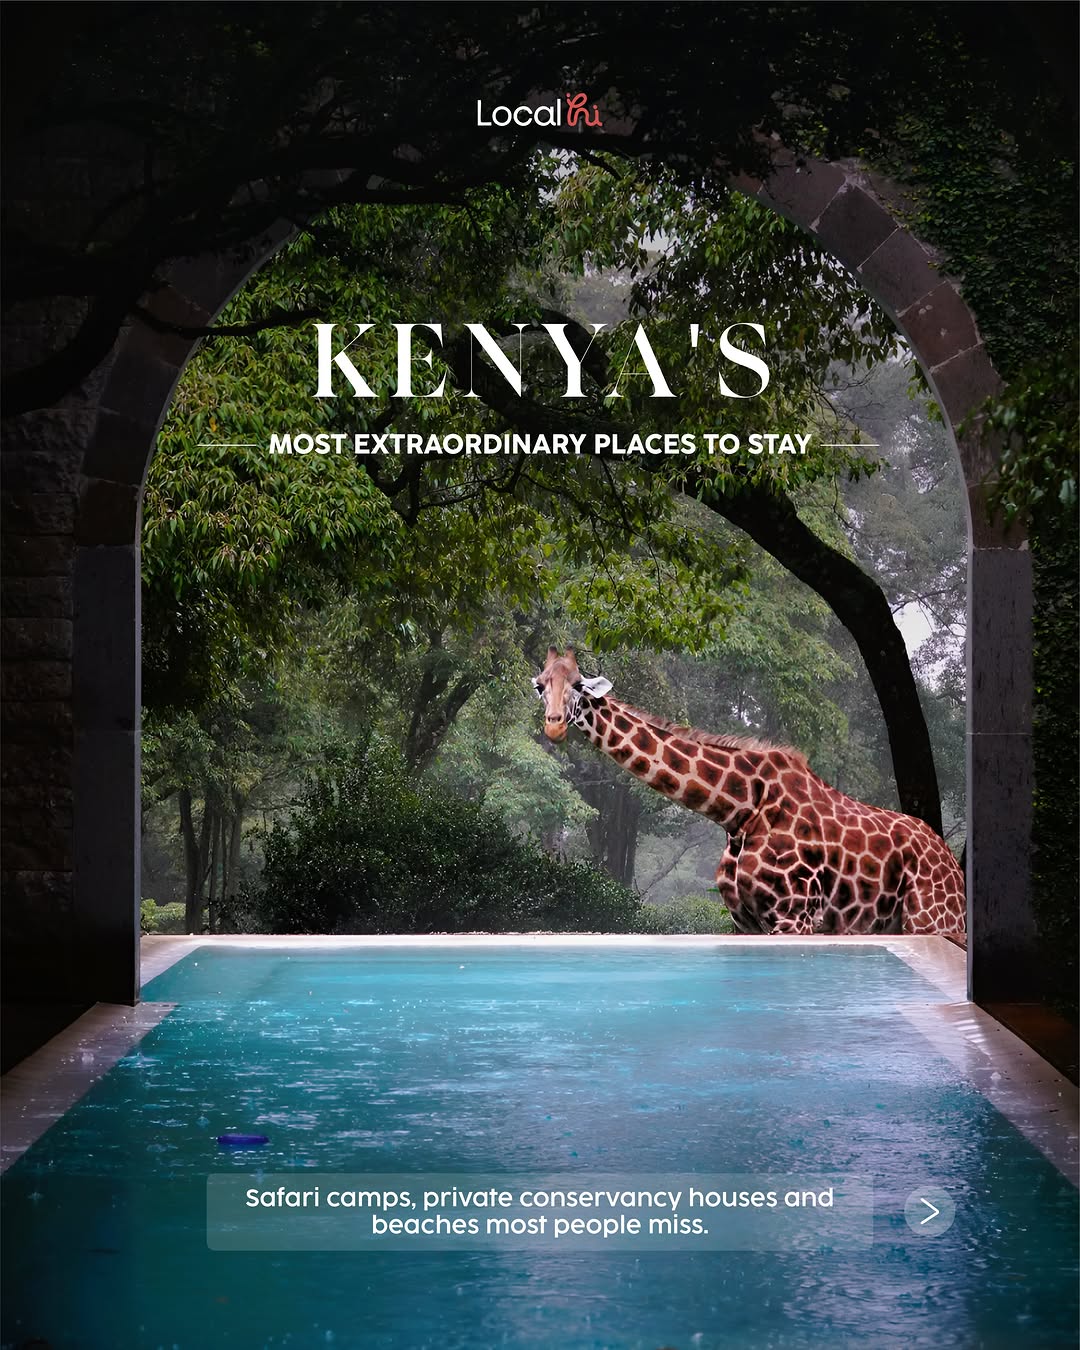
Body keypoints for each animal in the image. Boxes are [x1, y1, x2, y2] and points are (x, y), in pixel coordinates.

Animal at [533, 647, 966, 937]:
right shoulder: (744, 922)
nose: (554, 725)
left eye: (578, 685)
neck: (739, 809)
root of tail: (951, 862)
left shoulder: (795, 916)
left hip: (933, 921)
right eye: (539, 685)